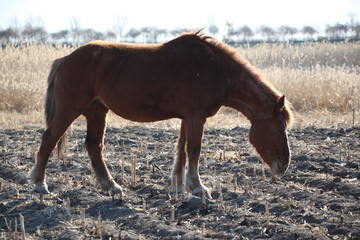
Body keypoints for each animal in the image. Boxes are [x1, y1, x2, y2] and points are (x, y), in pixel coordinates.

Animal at [28, 31, 292, 198]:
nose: (284, 167)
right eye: (280, 128)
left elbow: (182, 149)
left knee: (94, 146)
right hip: (69, 109)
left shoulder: (188, 117)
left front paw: (179, 185)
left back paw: (111, 186)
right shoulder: (196, 115)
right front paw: (198, 187)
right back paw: (40, 184)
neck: (214, 68)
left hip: (96, 111)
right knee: (49, 139)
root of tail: (65, 59)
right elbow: (194, 149)